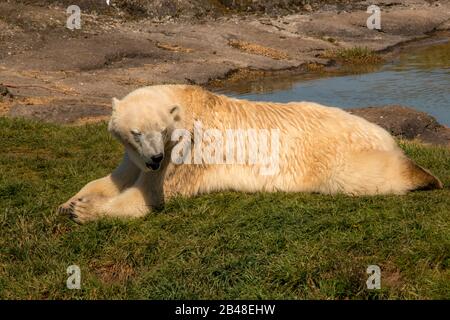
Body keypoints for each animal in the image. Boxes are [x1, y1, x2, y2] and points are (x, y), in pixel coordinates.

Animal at [59, 85, 442, 222]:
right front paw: (70, 201)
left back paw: (425, 176)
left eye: (162, 131)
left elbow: (151, 194)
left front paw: (86, 211)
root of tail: (381, 133)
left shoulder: (184, 152)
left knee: (365, 175)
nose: (153, 159)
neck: (184, 103)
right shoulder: (135, 155)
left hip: (339, 153)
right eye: (136, 132)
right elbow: (115, 178)